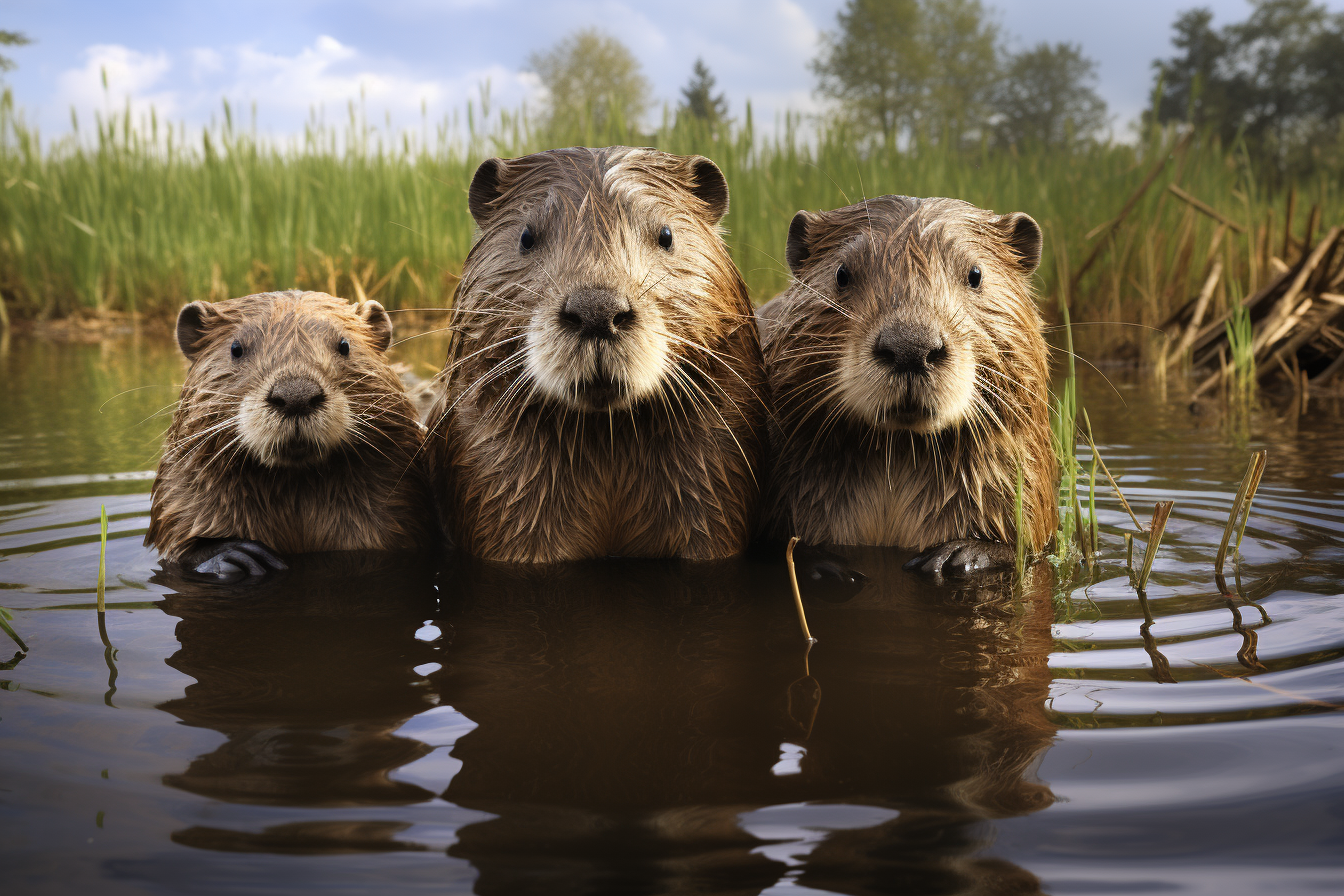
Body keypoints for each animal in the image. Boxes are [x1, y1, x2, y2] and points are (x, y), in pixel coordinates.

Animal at [758, 194, 1059, 574]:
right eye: (842, 274)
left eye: (975, 274)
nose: (910, 347)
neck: (899, 452)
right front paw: (828, 563)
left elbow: (1027, 547)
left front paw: (957, 555)